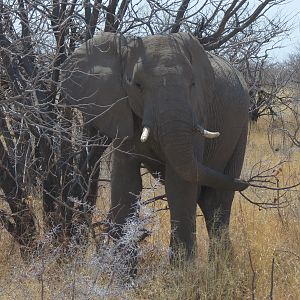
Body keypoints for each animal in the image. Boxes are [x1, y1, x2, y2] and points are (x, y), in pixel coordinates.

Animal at [60, 32, 248, 266]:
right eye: (137, 85)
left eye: (193, 84)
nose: (246, 182)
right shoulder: (120, 110)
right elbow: (125, 183)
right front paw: (123, 272)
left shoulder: (197, 111)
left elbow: (180, 186)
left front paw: (182, 271)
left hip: (242, 127)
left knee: (218, 199)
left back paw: (222, 266)